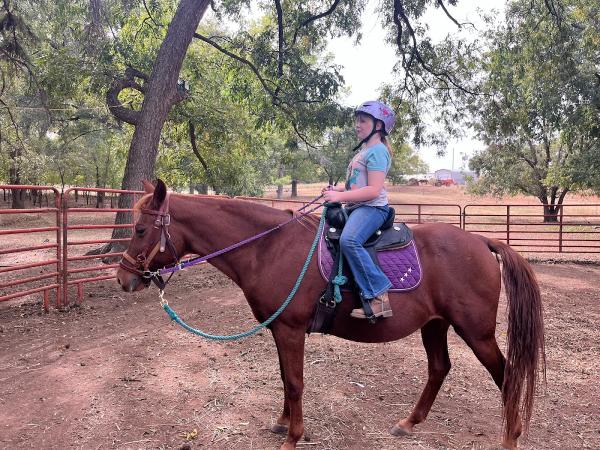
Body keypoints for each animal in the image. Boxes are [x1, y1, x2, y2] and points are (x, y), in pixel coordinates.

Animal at [116, 180, 544, 450]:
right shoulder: (280, 329)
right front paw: (283, 424)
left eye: (139, 230)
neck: (269, 248)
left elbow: (295, 383)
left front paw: (293, 437)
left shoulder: (290, 329)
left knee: (506, 374)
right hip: (436, 325)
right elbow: (286, 378)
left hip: (476, 331)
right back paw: (408, 423)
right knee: (439, 368)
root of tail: (481, 241)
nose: (123, 278)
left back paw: (511, 436)